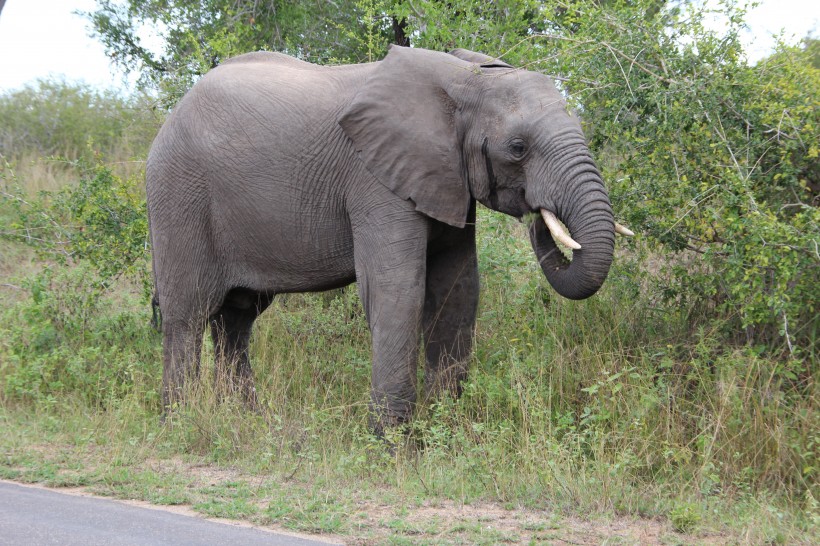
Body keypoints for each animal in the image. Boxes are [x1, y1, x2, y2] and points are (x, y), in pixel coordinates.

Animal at [147, 44, 632, 432]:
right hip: (179, 194)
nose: (539, 221)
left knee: (237, 318)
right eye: (517, 148)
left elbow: (459, 290)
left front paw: (444, 432)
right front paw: (393, 444)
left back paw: (250, 422)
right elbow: (397, 290)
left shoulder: (444, 177)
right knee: (188, 313)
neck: (462, 79)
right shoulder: (375, 180)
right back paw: (181, 425)